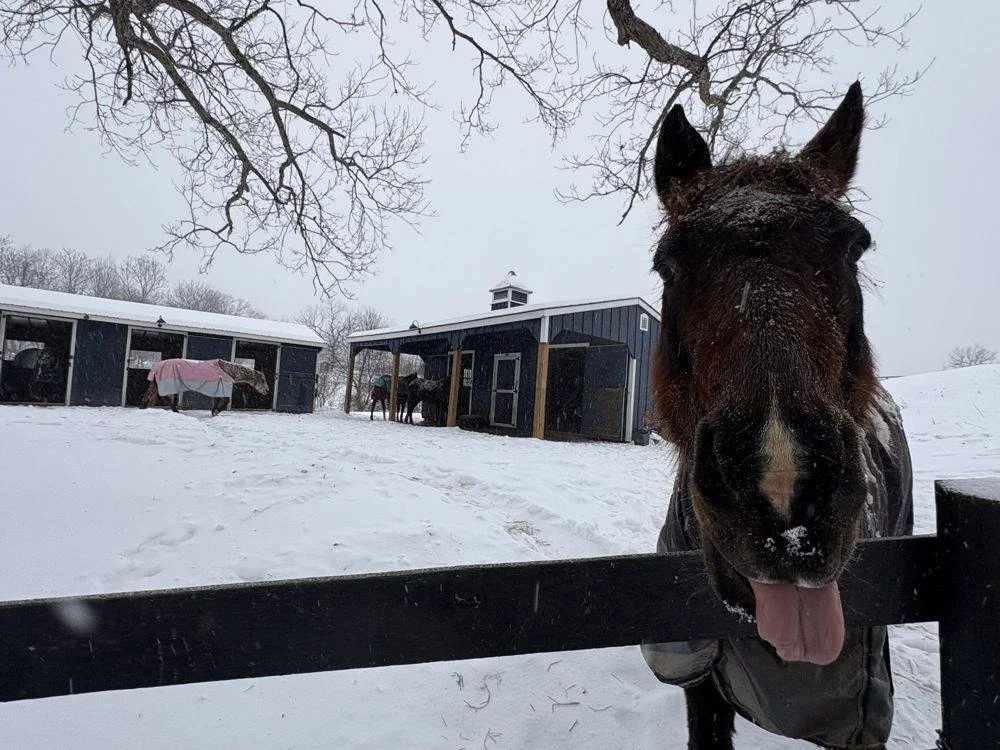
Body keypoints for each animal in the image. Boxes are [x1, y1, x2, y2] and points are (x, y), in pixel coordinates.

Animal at [141, 358, 269, 417]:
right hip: (168, 385)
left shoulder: (217, 389)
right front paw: (216, 412)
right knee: (165, 399)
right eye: (263, 380)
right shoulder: (222, 388)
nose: (267, 391)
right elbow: (225, 401)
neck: (228, 371)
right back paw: (176, 411)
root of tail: (157, 367)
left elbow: (217, 402)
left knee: (149, 396)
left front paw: (214, 412)